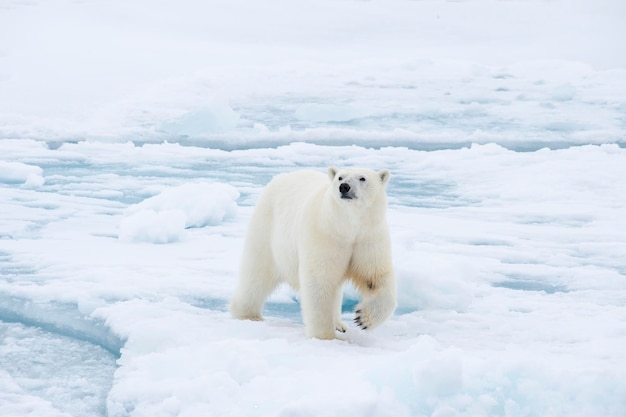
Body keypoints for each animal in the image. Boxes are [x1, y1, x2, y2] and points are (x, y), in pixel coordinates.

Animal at [229, 166, 394, 338]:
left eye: (362, 178)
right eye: (340, 177)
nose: (344, 187)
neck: (347, 227)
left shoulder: (368, 238)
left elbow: (375, 277)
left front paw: (363, 318)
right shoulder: (325, 235)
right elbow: (320, 281)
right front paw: (324, 336)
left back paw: (339, 324)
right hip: (267, 228)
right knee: (257, 274)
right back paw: (248, 315)